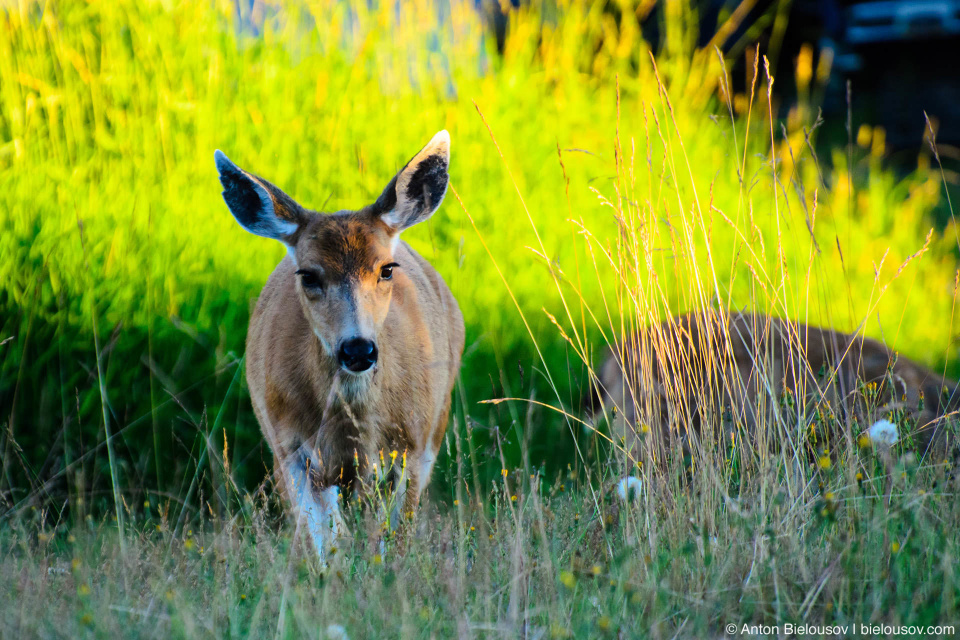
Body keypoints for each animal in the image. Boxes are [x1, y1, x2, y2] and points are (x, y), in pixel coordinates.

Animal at [213, 131, 464, 560]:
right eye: (308, 275)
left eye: (386, 269)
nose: (358, 349)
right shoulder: (289, 449)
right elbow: (328, 549)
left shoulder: (413, 446)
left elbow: (393, 542)